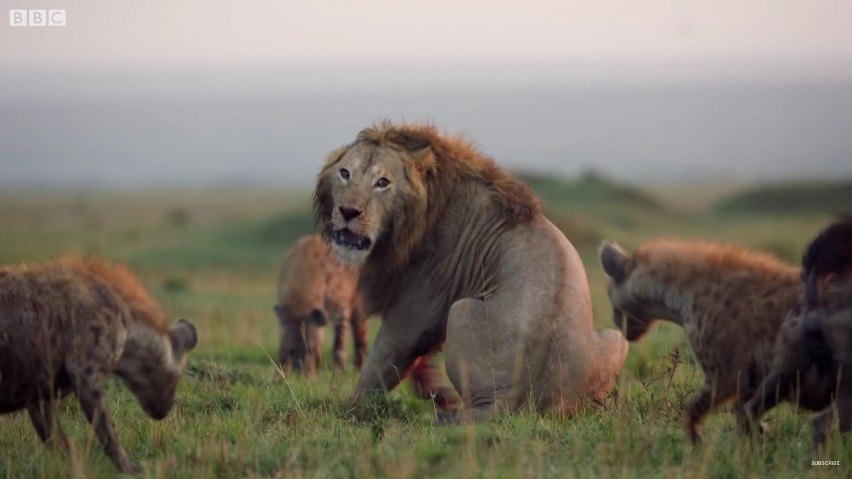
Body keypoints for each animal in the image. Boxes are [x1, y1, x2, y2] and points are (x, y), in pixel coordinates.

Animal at [0, 256, 198, 474]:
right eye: (176, 379)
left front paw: (70, 465)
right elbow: (107, 430)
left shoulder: (41, 390)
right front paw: (131, 469)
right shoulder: (84, 370)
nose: (165, 410)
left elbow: (56, 439)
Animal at [272, 234, 366, 376]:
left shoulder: (340, 304)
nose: (303, 376)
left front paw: (338, 372)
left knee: (359, 333)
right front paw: (280, 374)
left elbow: (339, 343)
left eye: (311, 349)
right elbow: (282, 346)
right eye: (292, 350)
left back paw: (358, 369)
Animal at [312, 122, 624, 422]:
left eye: (382, 183)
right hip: (615, 338)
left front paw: (346, 408)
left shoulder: (415, 311)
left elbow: (380, 363)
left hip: (461, 311)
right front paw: (432, 388)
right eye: (345, 173)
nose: (348, 211)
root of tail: (524, 402)